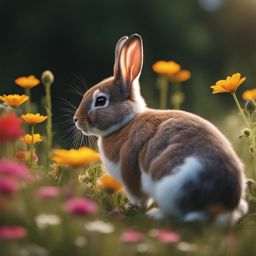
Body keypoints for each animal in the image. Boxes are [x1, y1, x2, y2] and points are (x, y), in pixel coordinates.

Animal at [73, 34, 248, 224]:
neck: (124, 123)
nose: (76, 119)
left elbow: (138, 196)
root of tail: (225, 204)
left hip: (172, 188)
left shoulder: (129, 170)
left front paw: (132, 208)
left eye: (100, 101)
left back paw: (157, 215)